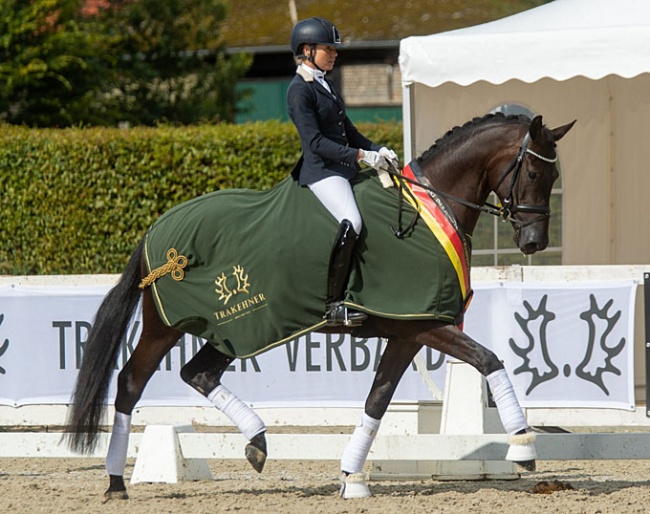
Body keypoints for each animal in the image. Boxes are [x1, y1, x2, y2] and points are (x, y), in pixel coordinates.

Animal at [64, 112, 572, 496]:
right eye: (532, 172)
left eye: (554, 175)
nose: (533, 242)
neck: (429, 210)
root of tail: (156, 232)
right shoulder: (425, 325)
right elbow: (490, 360)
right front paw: (523, 446)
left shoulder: (407, 331)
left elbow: (377, 401)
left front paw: (352, 477)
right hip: (166, 326)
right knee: (130, 383)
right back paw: (116, 482)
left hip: (233, 330)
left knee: (197, 373)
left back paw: (257, 441)